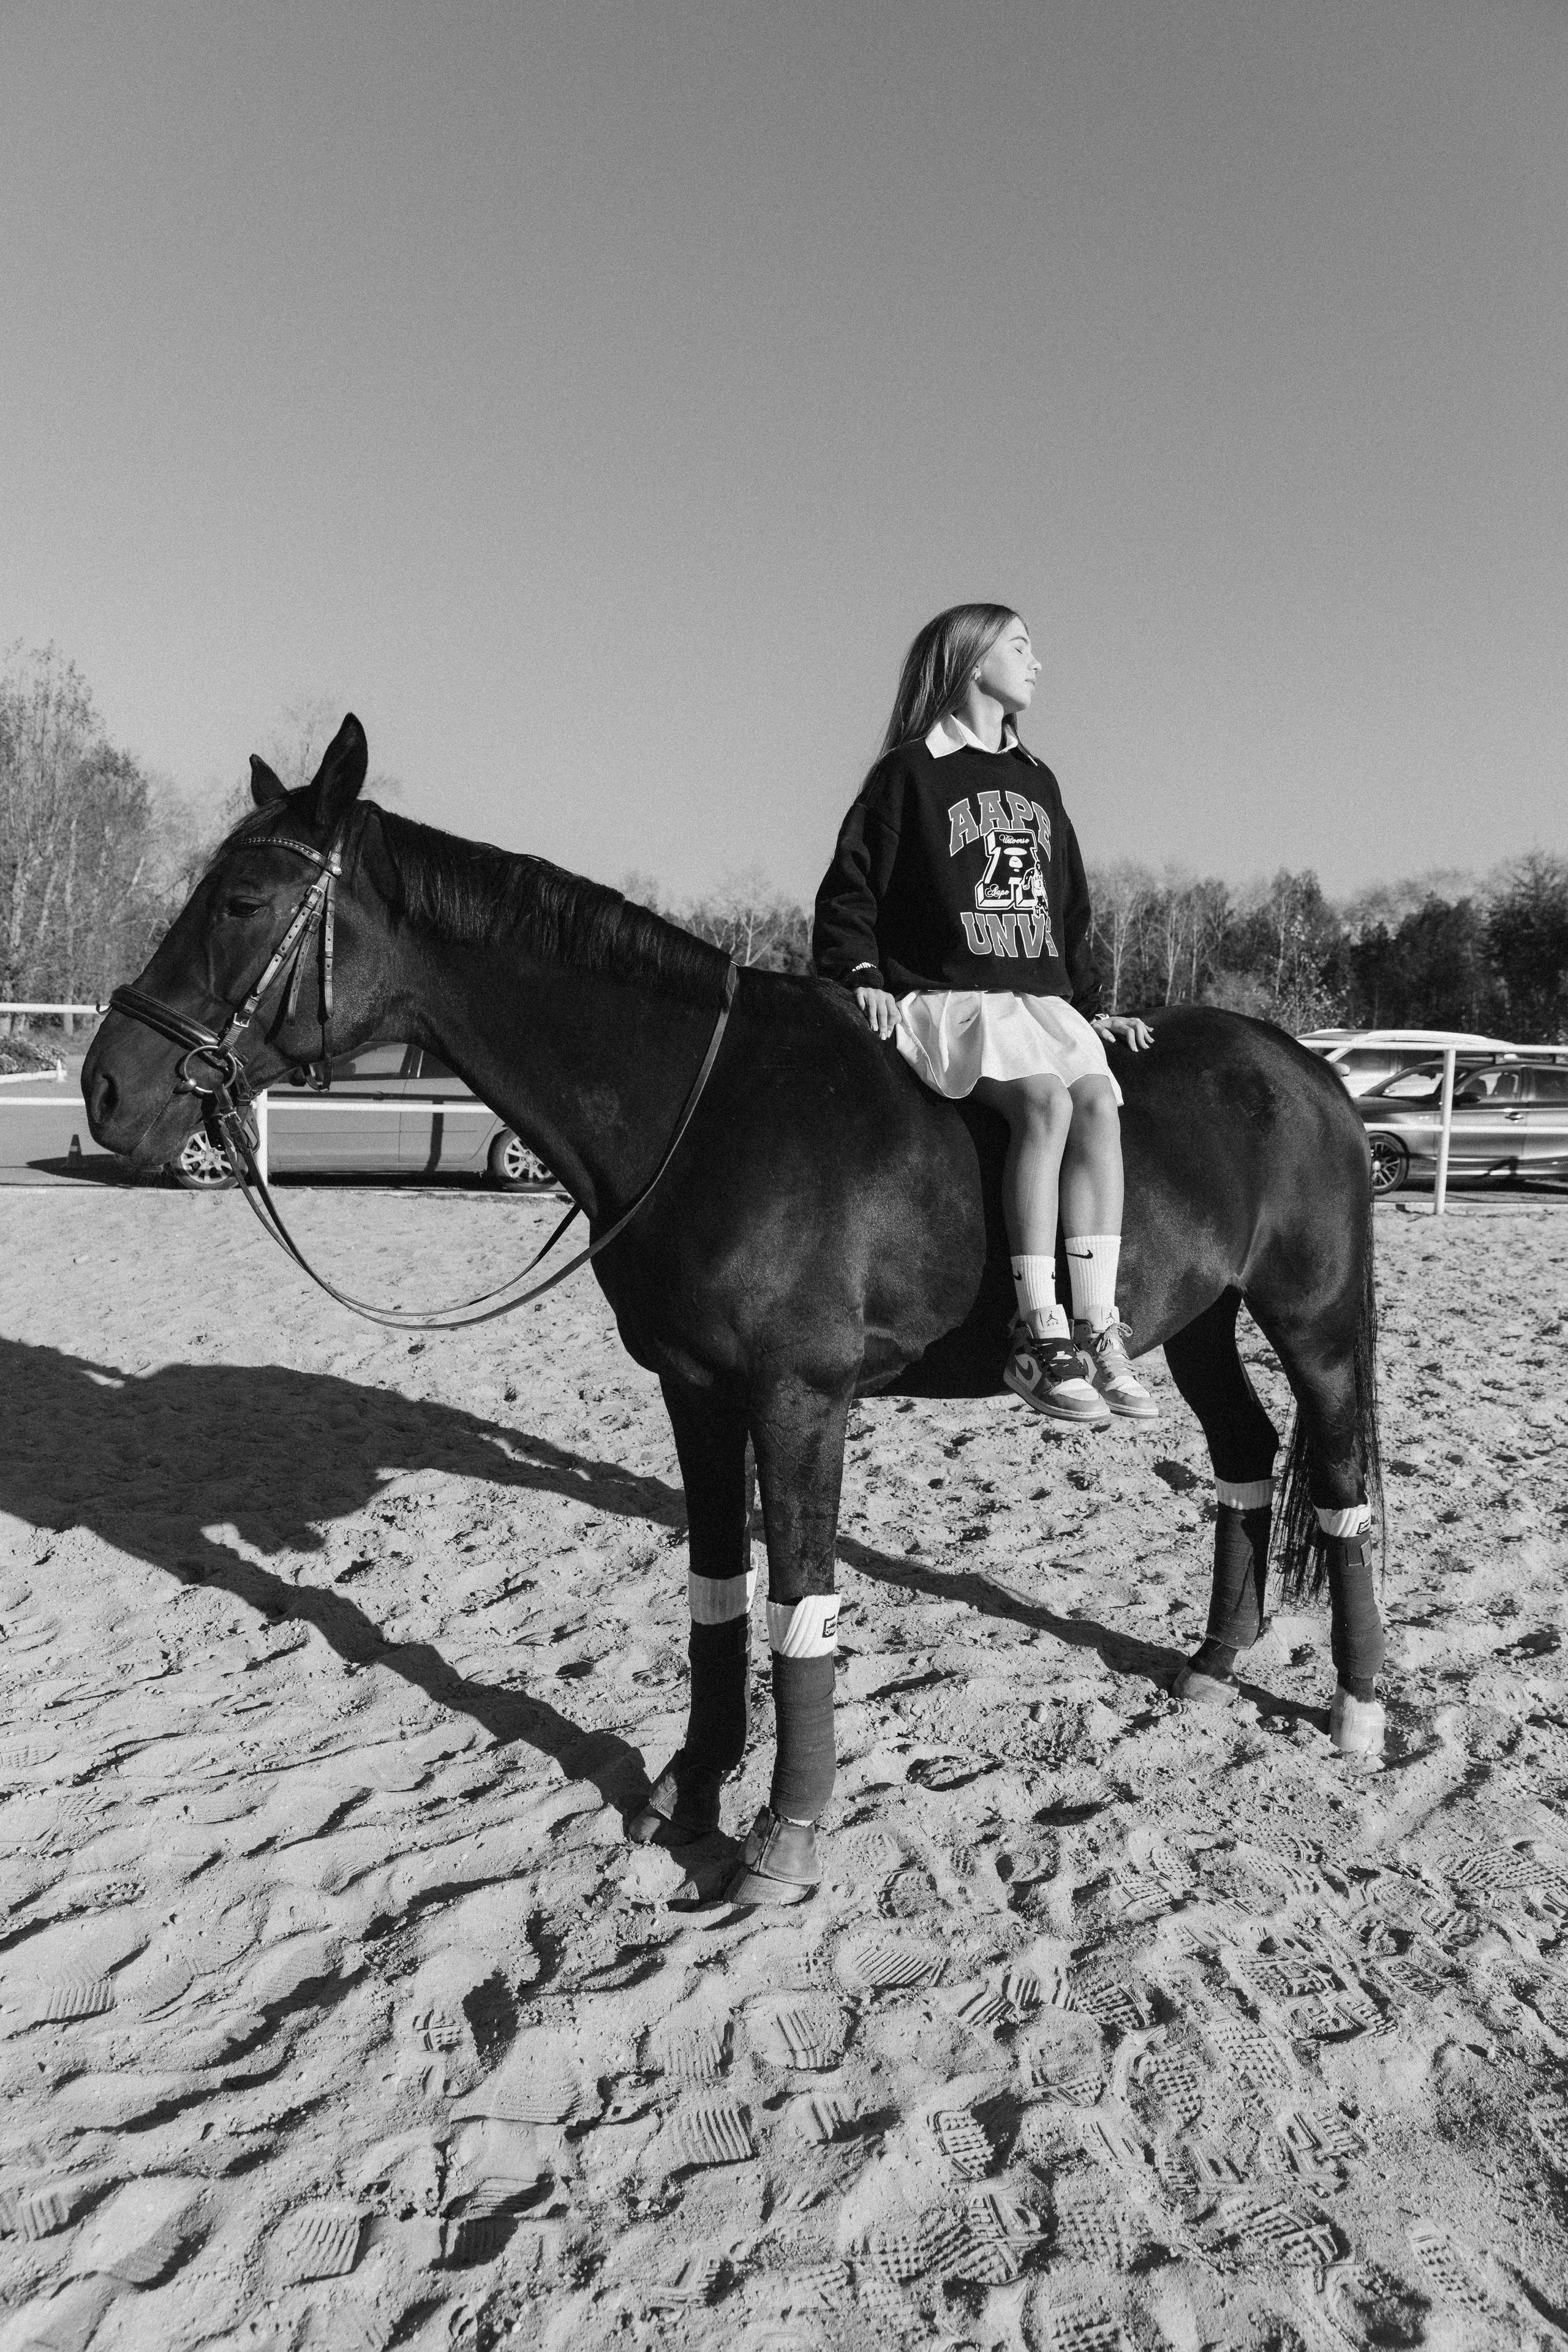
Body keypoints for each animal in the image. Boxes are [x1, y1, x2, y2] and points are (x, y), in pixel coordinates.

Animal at [84, 715, 1384, 1904]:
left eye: (244, 899)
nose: (106, 1088)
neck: (704, 1106)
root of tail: (1305, 1068)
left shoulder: (800, 1400)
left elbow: (802, 1601)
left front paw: (788, 1833)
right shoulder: (695, 1392)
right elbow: (717, 1594)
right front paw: (693, 1790)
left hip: (1313, 1324)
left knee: (1338, 1485)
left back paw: (1360, 1711)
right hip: (1204, 1321)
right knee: (1245, 1454)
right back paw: (1214, 1660)